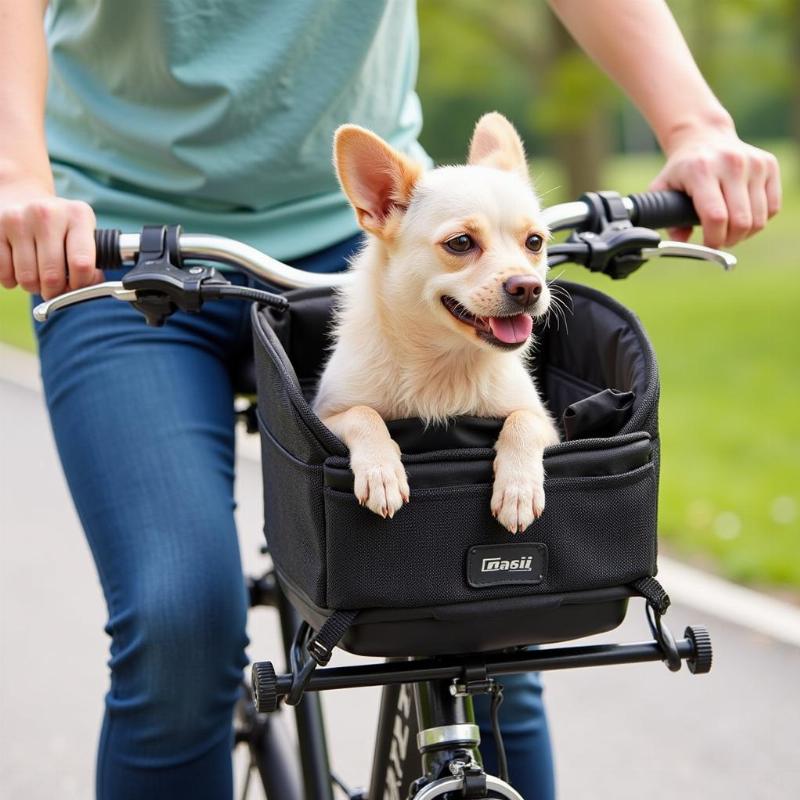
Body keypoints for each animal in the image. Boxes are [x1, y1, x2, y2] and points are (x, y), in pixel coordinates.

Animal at [310, 112, 560, 536]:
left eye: (535, 243)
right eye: (461, 243)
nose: (529, 287)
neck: (445, 361)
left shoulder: (549, 426)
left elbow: (523, 421)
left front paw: (518, 489)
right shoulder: (326, 418)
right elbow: (364, 415)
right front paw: (382, 471)